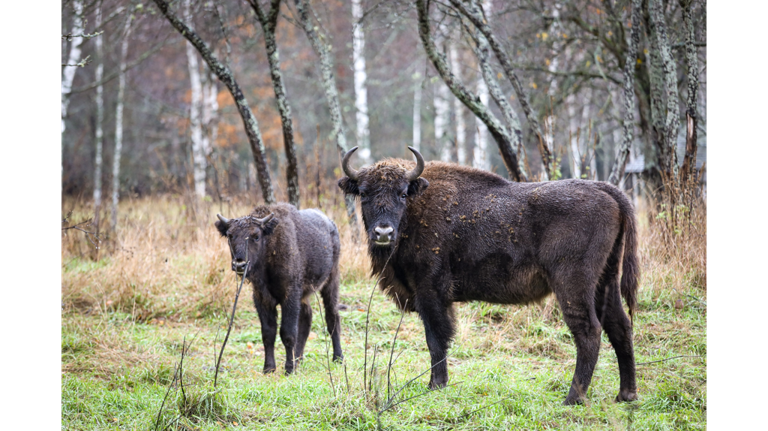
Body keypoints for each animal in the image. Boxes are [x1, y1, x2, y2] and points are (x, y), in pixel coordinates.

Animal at [214, 204, 344, 376]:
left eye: (256, 236)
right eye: (230, 235)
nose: (240, 264)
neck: (269, 246)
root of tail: (331, 224)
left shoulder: (290, 296)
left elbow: (287, 333)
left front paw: (288, 369)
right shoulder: (262, 298)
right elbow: (268, 333)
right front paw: (269, 368)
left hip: (331, 281)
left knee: (332, 317)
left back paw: (338, 358)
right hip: (305, 294)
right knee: (307, 318)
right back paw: (299, 359)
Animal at [340, 148, 640, 404]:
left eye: (402, 194)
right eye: (363, 193)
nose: (383, 232)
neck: (416, 207)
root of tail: (607, 190)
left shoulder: (430, 291)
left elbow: (435, 338)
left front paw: (435, 385)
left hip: (573, 284)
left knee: (589, 331)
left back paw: (572, 398)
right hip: (605, 281)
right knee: (620, 326)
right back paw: (626, 394)